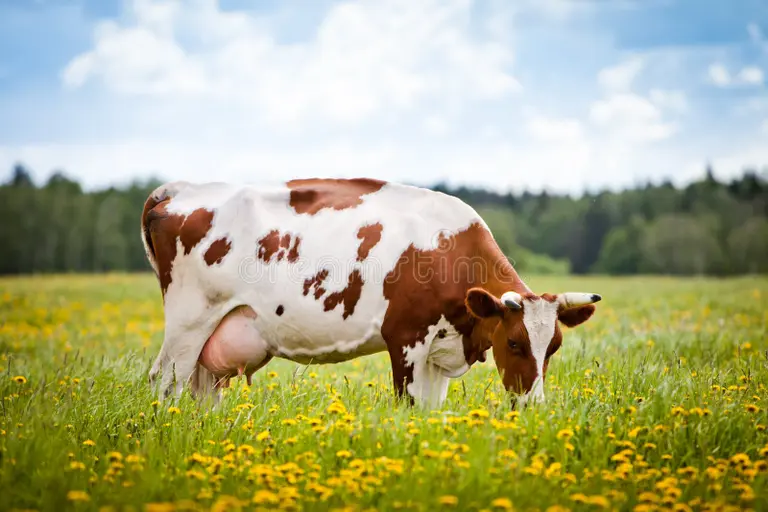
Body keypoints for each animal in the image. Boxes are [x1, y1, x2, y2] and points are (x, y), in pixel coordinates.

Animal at [142, 178, 601, 407]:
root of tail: (182, 189)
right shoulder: (406, 339)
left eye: (554, 347)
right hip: (189, 321)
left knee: (203, 392)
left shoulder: (440, 350)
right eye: (514, 342)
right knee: (166, 384)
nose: (534, 405)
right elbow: (409, 407)